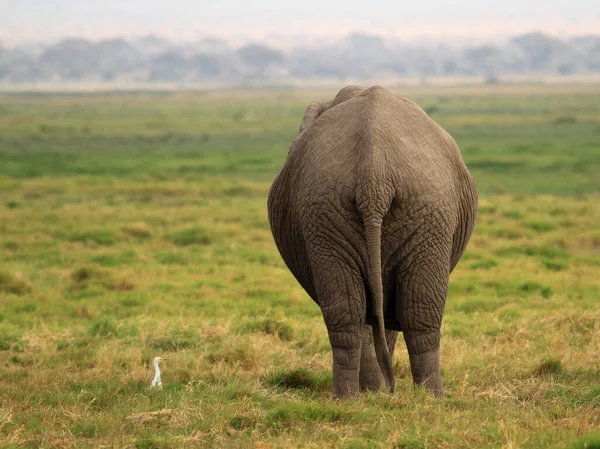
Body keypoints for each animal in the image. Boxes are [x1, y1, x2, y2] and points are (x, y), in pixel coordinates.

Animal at [268, 86, 478, 398]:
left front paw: (377, 391)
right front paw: (378, 391)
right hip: (342, 212)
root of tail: (373, 175)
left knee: (369, 311)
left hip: (407, 209)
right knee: (399, 310)